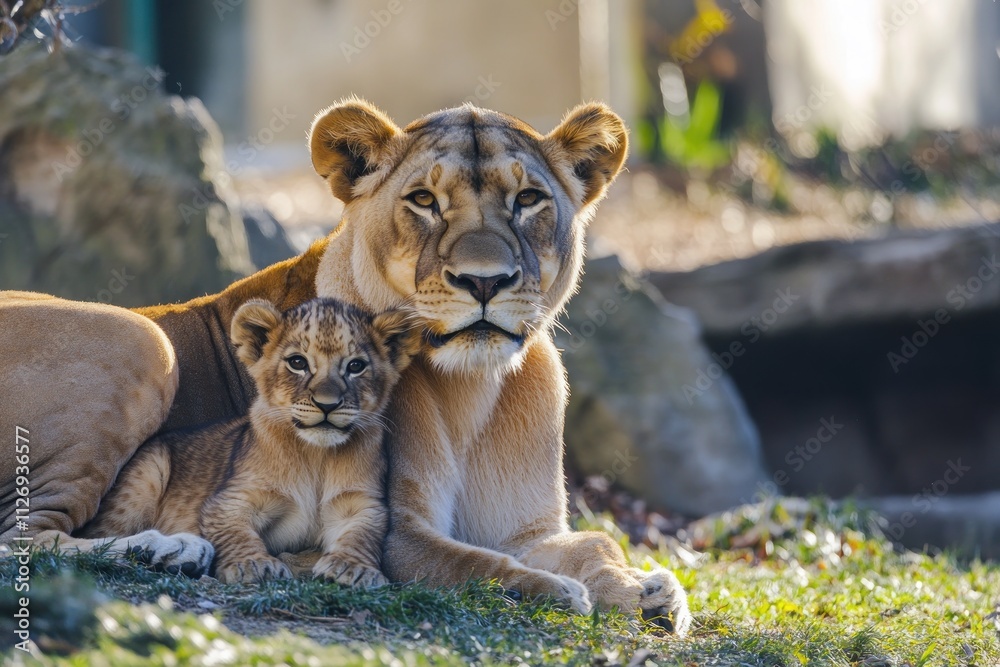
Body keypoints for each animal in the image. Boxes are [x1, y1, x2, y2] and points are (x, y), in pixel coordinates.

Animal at [79, 298, 418, 586]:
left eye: (356, 366)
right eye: (298, 362)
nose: (327, 404)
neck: (315, 456)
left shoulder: (362, 503)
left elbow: (363, 533)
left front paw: (352, 568)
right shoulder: (230, 499)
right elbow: (236, 531)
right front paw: (252, 565)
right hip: (146, 476)